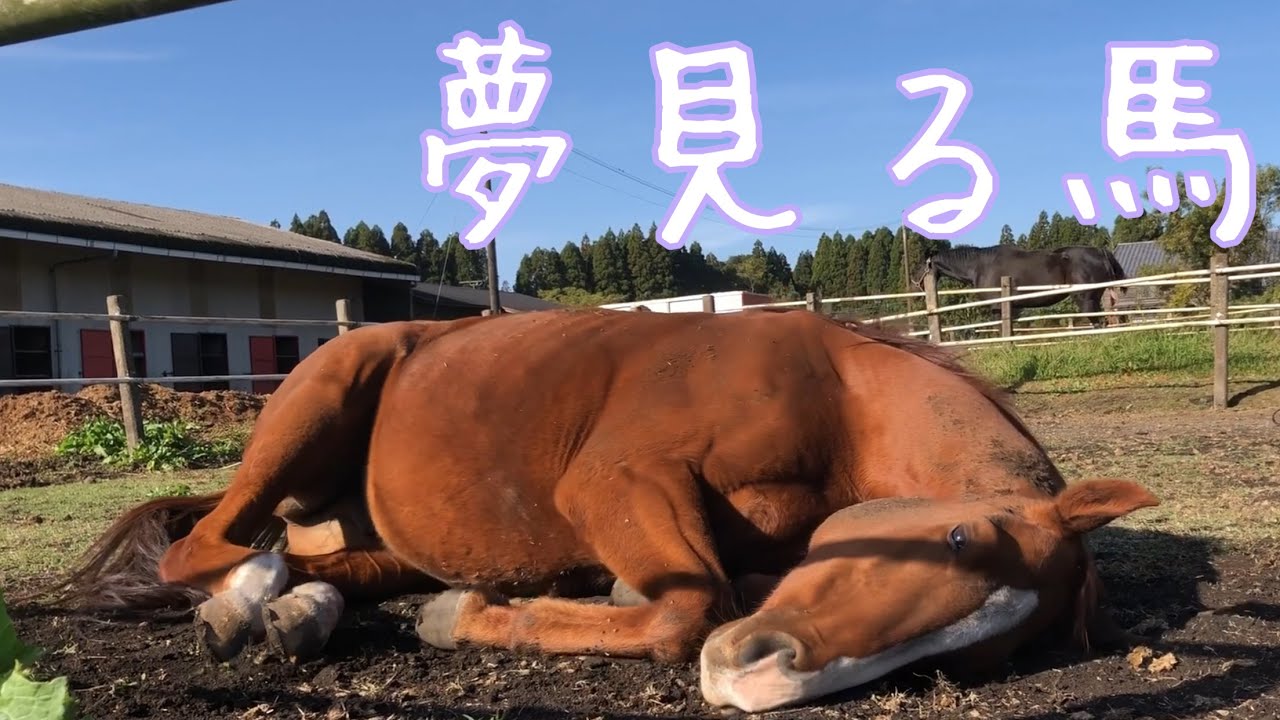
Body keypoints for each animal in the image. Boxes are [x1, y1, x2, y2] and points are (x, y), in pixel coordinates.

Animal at [21, 308, 1157, 713]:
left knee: (319, 571)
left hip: (386, 537)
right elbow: (685, 609)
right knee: (206, 552)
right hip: (313, 406)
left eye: (973, 662)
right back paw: (248, 599)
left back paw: (298, 609)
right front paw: (468, 620)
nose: (756, 682)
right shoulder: (612, 482)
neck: (833, 390)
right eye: (955, 535)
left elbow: (686, 596)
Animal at [910, 245, 1129, 329]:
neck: (979, 266)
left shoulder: (998, 308)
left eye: (919, 266)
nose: (912, 287)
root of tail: (1101, 252)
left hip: (1086, 299)